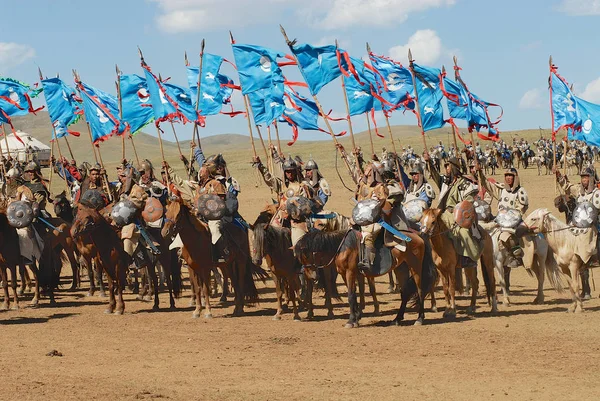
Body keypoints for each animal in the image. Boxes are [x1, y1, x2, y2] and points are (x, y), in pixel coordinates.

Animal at [294, 227, 436, 326]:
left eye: (306, 255)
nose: (311, 276)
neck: (342, 247)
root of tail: (417, 235)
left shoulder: (350, 273)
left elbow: (351, 296)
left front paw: (351, 321)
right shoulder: (345, 274)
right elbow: (354, 295)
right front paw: (356, 317)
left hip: (415, 267)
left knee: (420, 290)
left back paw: (419, 319)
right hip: (401, 269)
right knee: (405, 292)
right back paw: (397, 319)